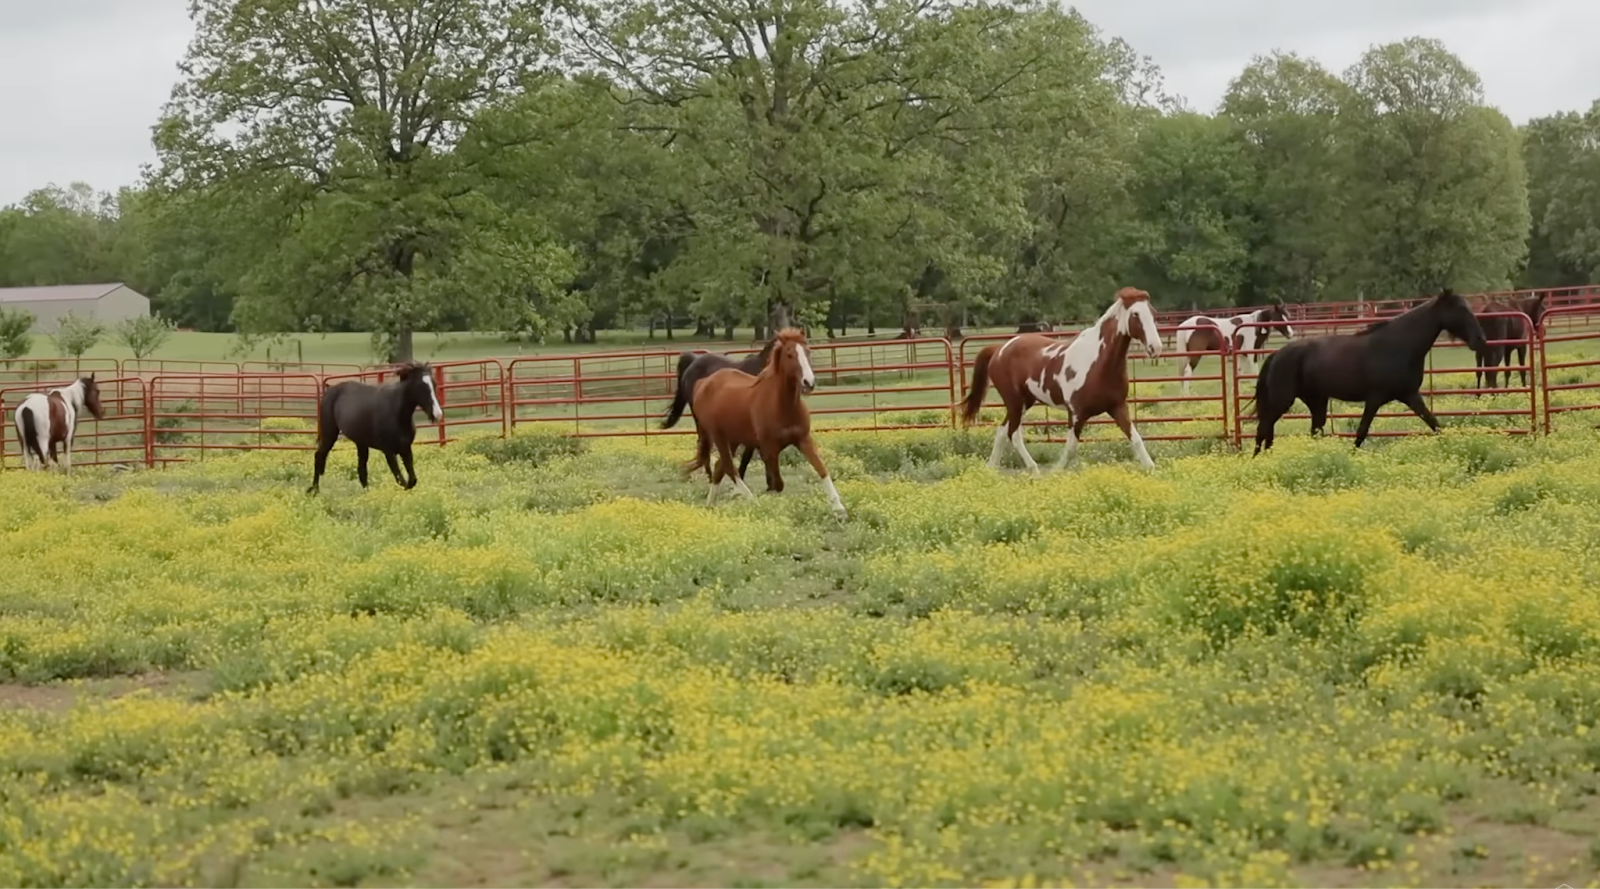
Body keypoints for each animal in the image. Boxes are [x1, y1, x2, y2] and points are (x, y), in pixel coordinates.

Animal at [306, 361, 443, 494]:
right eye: (420, 386)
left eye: (434, 384)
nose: (438, 414)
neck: (396, 413)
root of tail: (329, 390)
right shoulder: (388, 451)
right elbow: (401, 479)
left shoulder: (405, 449)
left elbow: (412, 480)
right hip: (330, 434)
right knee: (319, 456)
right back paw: (314, 490)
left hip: (361, 443)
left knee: (362, 470)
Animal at [688, 327, 847, 518]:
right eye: (789, 354)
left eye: (808, 351)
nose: (809, 382)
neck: (783, 406)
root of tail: (702, 383)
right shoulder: (769, 449)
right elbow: (778, 484)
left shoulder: (803, 440)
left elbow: (822, 469)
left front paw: (839, 508)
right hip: (718, 436)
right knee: (729, 468)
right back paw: (751, 500)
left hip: (733, 439)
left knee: (720, 468)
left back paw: (710, 505)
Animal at [961, 286, 1164, 473]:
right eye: (1135, 314)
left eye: (1152, 312)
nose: (1156, 347)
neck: (1098, 362)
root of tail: (998, 350)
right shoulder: (1076, 414)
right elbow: (1071, 448)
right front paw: (1056, 472)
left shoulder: (1118, 407)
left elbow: (1136, 439)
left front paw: (1151, 469)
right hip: (1015, 401)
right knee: (1013, 434)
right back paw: (1033, 469)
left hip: (1024, 402)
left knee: (1003, 431)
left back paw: (991, 468)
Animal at [1250, 288, 1487, 454]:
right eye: (1460, 309)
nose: (1480, 340)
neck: (1399, 345)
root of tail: (1277, 354)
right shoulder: (1374, 399)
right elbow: (1361, 432)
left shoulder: (1410, 395)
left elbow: (1434, 424)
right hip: (1283, 400)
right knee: (1264, 428)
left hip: (1316, 402)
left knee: (1308, 432)